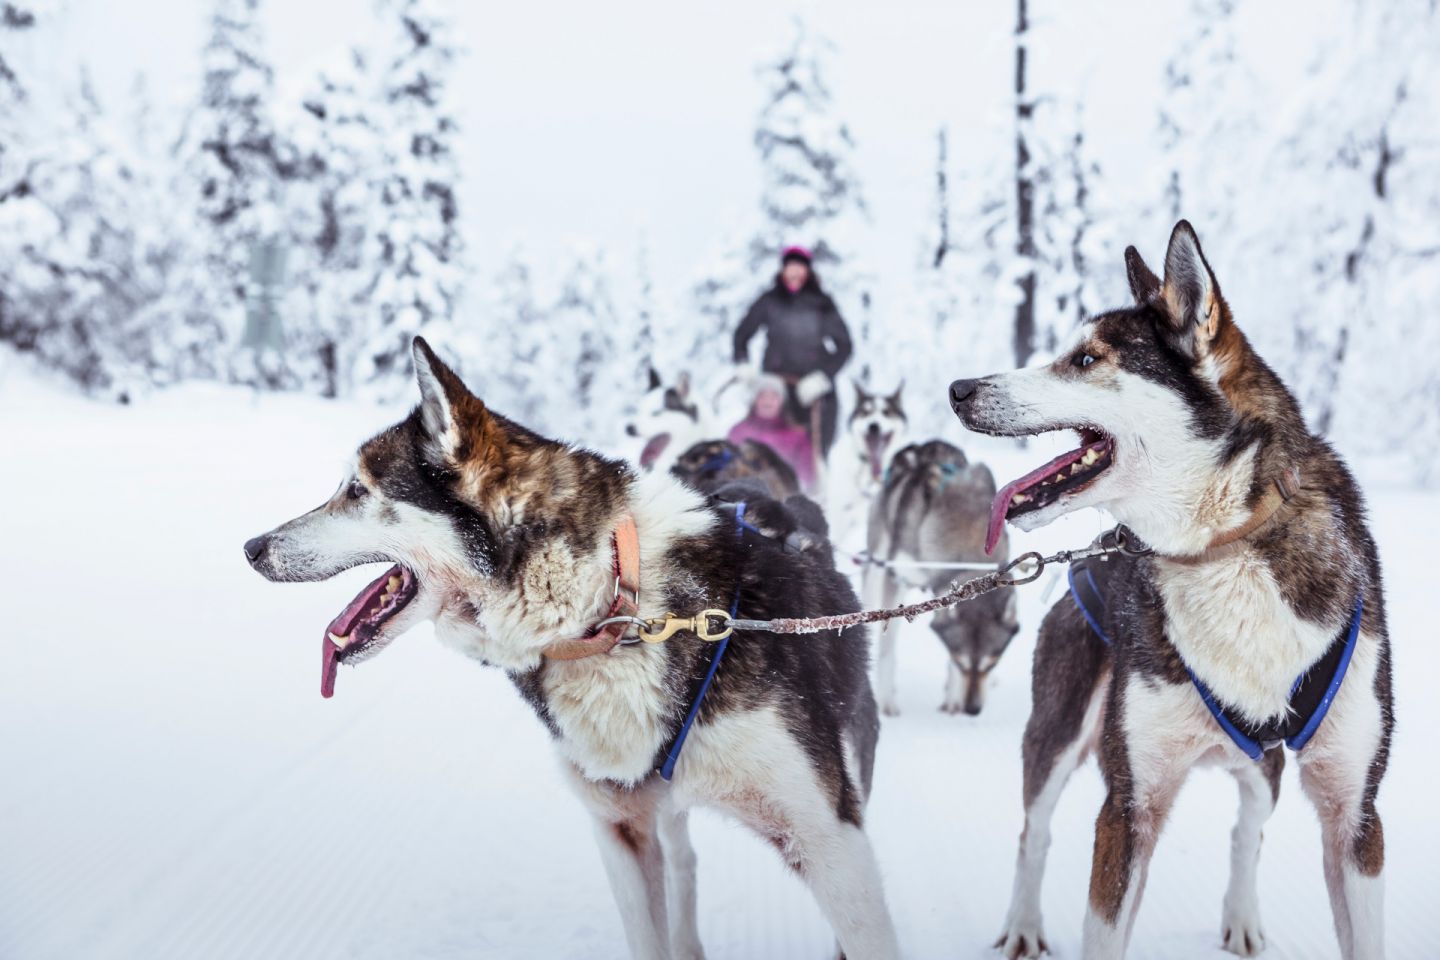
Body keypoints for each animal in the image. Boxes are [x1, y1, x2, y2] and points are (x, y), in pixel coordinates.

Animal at [858, 440, 1019, 716]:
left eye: (991, 663)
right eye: (961, 661)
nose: (972, 710)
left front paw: (952, 699)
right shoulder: (896, 578)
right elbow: (887, 648)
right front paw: (886, 701)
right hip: (878, 565)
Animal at [950, 223, 1388, 960]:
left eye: (1086, 358)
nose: (958, 387)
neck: (1225, 546)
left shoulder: (1355, 812)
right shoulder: (1130, 806)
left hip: (1261, 771)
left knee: (1250, 827)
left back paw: (1242, 916)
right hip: (1058, 729)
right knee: (1035, 830)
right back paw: (1024, 925)